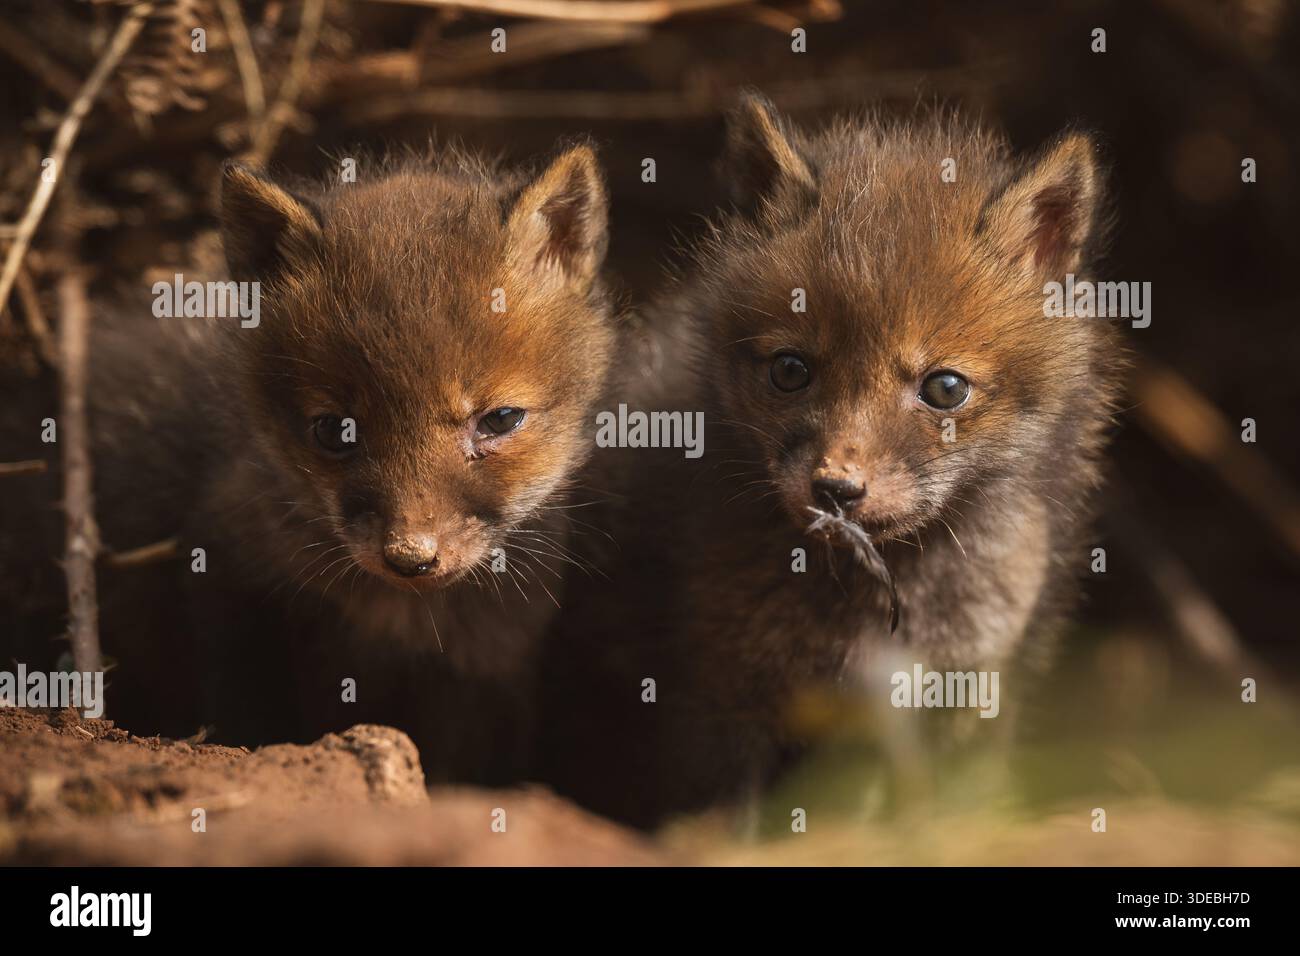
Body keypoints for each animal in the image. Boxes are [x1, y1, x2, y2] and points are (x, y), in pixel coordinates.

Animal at [0, 143, 617, 784]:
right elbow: (247, 711)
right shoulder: (230, 575)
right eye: (334, 430)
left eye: (499, 420)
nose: (411, 558)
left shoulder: (489, 669)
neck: (400, 616)